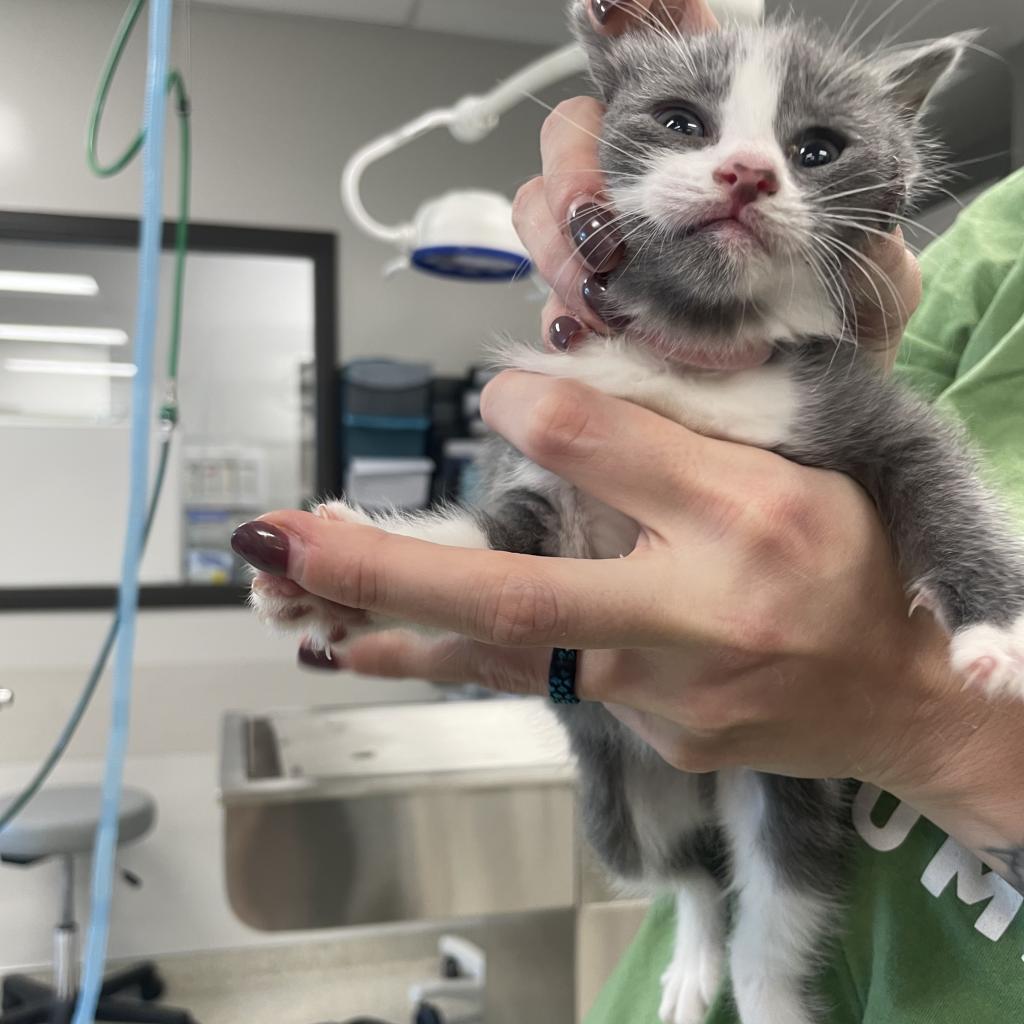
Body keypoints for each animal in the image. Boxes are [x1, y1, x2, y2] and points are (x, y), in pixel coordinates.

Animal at [249, 9, 1024, 1024]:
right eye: (681, 122)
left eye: (817, 148)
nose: (748, 173)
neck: (694, 359)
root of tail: (704, 790)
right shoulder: (557, 491)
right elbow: (497, 541)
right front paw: (335, 571)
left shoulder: (854, 407)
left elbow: (940, 477)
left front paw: (995, 627)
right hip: (614, 796)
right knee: (684, 873)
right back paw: (692, 950)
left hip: (788, 787)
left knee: (772, 920)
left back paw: (756, 981)